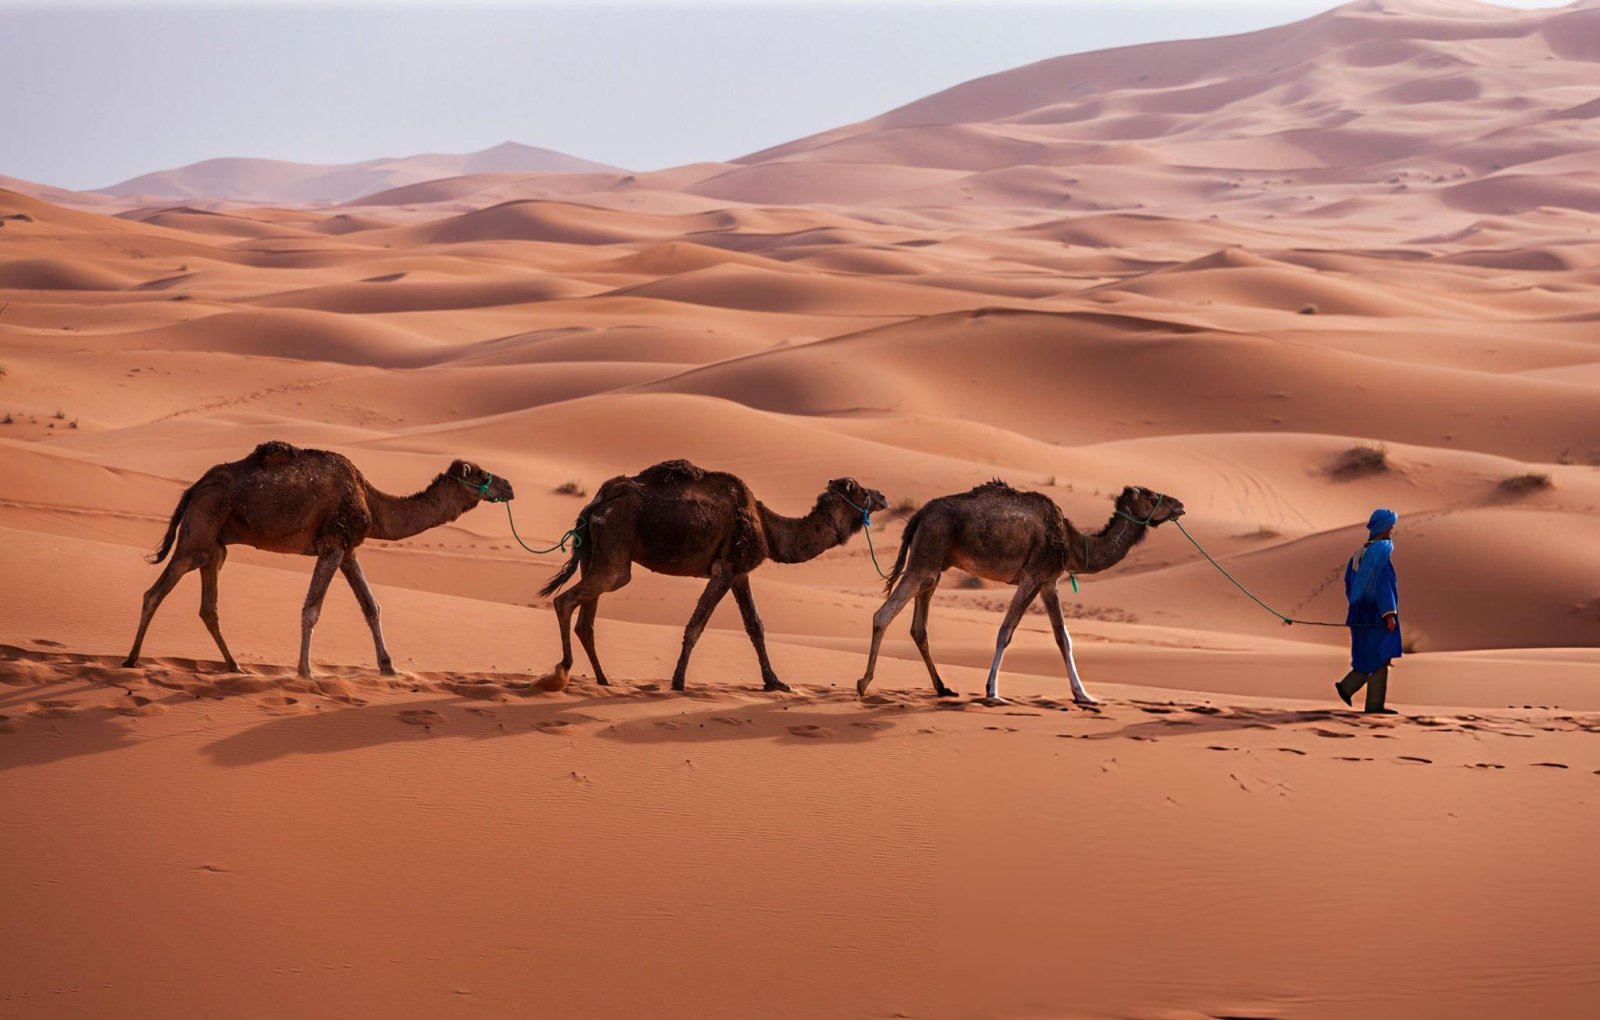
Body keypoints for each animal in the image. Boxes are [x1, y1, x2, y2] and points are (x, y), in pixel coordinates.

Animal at [123, 441, 514, 678]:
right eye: (482, 474)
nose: (509, 486)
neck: (373, 502)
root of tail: (194, 489)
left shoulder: (349, 550)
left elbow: (371, 607)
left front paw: (389, 667)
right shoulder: (332, 544)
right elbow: (311, 609)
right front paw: (305, 671)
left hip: (216, 546)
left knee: (208, 606)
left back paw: (235, 666)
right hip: (197, 535)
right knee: (154, 593)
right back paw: (131, 660)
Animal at [538, 459, 886, 692]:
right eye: (861, 490)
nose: (883, 497)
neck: (769, 528)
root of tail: (594, 506)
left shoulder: (740, 572)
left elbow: (755, 626)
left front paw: (775, 682)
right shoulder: (727, 568)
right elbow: (696, 625)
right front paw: (678, 682)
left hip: (594, 553)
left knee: (586, 621)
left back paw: (603, 679)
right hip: (615, 546)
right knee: (565, 600)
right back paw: (561, 671)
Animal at [858, 482, 1185, 705]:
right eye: (1152, 495)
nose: (1180, 504)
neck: (1073, 543)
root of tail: (920, 514)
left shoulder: (1049, 582)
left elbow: (1063, 638)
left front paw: (1084, 695)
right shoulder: (1033, 575)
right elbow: (1006, 631)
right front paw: (992, 691)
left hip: (935, 564)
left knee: (919, 627)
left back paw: (943, 688)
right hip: (927, 555)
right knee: (883, 614)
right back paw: (863, 683)